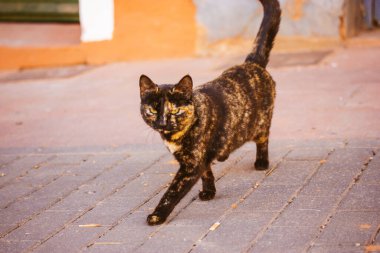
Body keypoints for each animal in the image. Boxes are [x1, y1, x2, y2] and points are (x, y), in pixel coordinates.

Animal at [138, 0, 280, 225]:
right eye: (153, 109)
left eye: (175, 109)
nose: (162, 122)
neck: (175, 137)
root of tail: (251, 63)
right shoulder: (199, 159)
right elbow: (206, 173)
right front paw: (209, 192)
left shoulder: (191, 165)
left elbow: (172, 191)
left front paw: (157, 215)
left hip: (262, 121)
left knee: (263, 137)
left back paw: (261, 162)